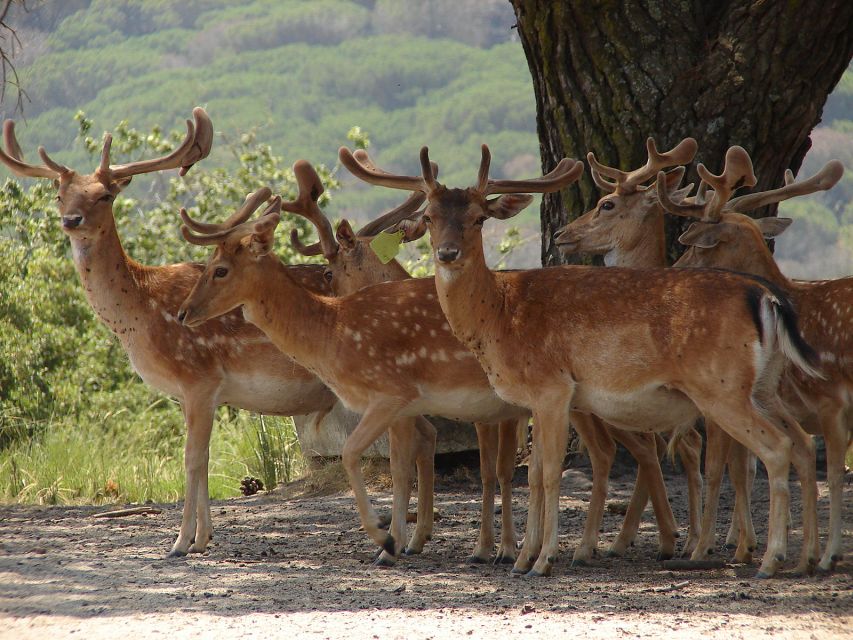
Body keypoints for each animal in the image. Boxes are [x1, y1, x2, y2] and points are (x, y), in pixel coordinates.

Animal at [0, 112, 440, 564]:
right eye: (58, 194)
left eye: (105, 195)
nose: (72, 221)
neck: (139, 316)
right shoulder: (189, 393)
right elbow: (205, 456)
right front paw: (202, 538)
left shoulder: (198, 376)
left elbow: (191, 458)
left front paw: (180, 543)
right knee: (426, 436)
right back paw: (416, 538)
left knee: (406, 447)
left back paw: (394, 543)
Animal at [652, 150, 844, 568]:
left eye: (698, 246)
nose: (670, 274)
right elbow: (746, 468)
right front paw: (753, 547)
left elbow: (720, 469)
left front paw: (709, 548)